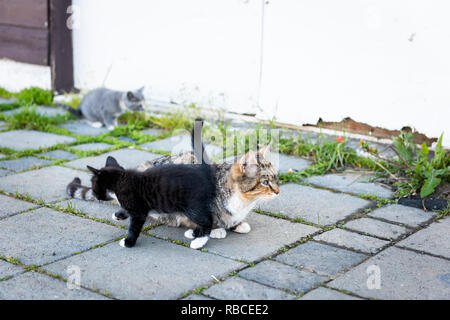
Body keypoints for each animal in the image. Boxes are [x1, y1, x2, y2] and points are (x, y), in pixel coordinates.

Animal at [86, 156, 218, 249]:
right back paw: (195, 233)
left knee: (207, 220)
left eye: (93, 187)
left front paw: (128, 242)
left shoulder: (139, 210)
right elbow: (126, 209)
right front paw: (118, 215)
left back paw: (200, 241)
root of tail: (207, 178)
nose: (95, 196)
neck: (120, 181)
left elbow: (134, 227)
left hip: (191, 204)